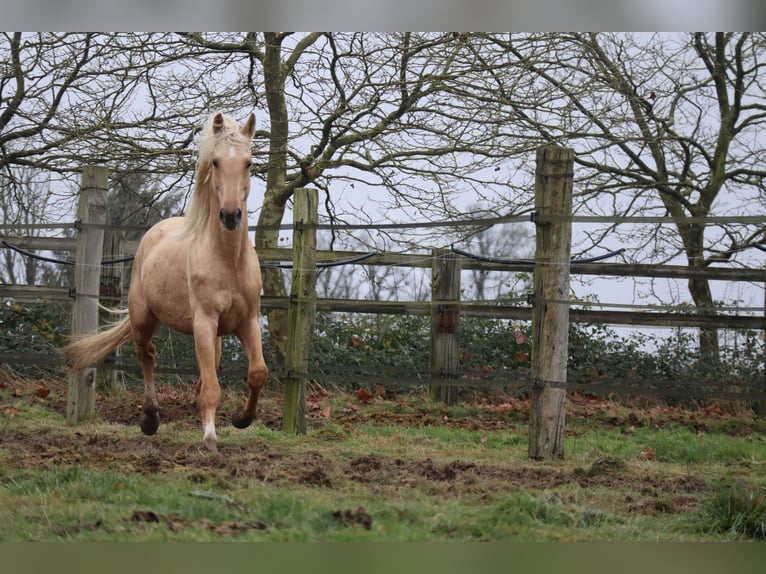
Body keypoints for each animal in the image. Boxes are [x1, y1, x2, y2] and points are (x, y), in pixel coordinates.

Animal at [64, 112, 272, 454]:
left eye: (249, 162)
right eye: (215, 161)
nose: (230, 215)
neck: (228, 260)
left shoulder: (248, 321)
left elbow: (257, 373)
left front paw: (242, 418)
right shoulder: (204, 321)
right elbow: (212, 386)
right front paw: (210, 439)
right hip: (143, 317)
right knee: (147, 355)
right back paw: (150, 419)